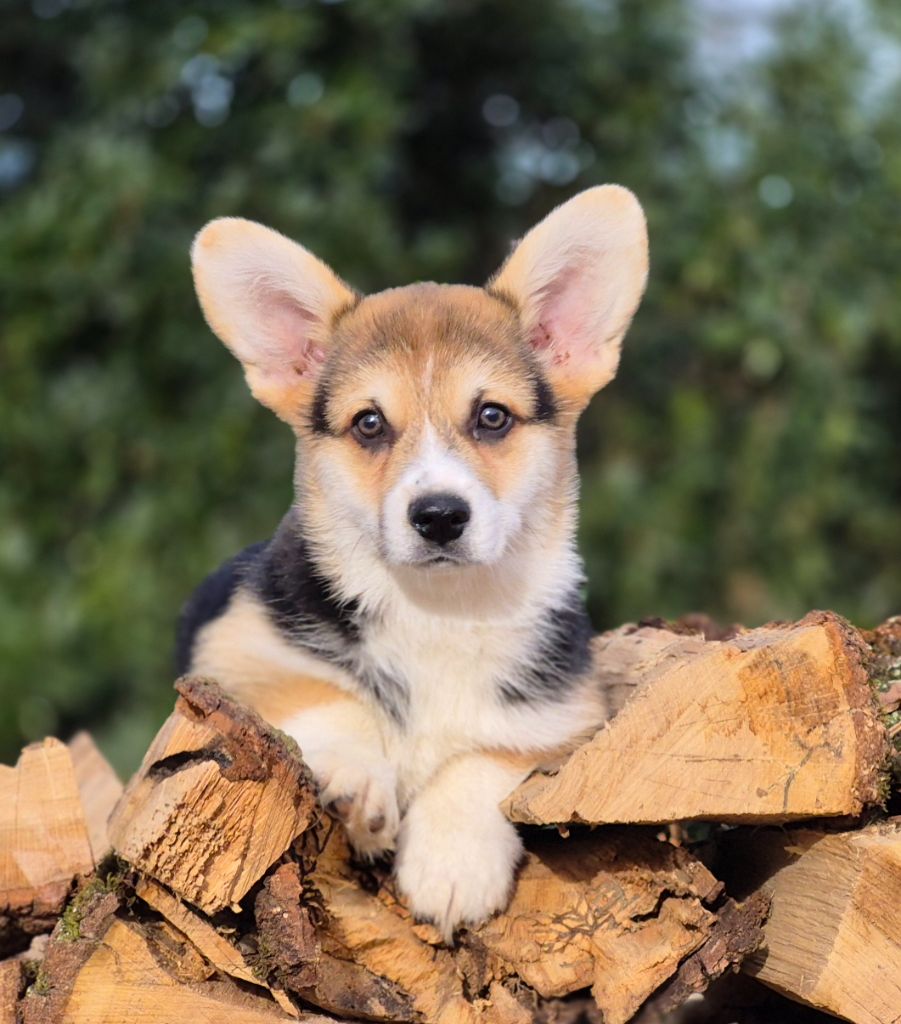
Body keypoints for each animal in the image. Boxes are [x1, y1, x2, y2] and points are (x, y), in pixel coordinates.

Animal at [178, 188, 647, 937]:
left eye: (492, 417)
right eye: (369, 424)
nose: (438, 517)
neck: (440, 608)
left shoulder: (566, 721)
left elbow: (486, 758)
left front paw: (451, 866)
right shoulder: (231, 653)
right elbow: (327, 695)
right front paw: (358, 781)